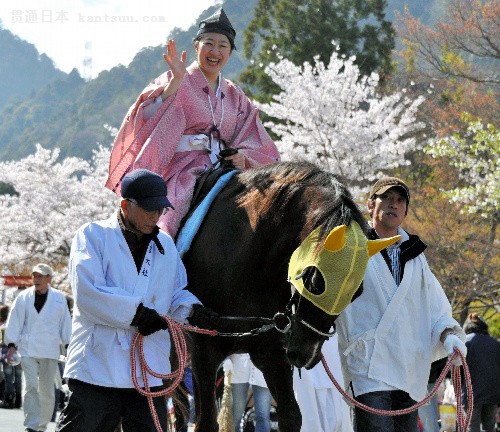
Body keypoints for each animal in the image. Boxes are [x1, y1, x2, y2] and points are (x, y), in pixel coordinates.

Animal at [182, 162, 392, 432]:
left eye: (357, 293)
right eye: (315, 281)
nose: (307, 353)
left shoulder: (272, 351)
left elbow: (292, 415)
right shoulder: (204, 347)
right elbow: (207, 421)